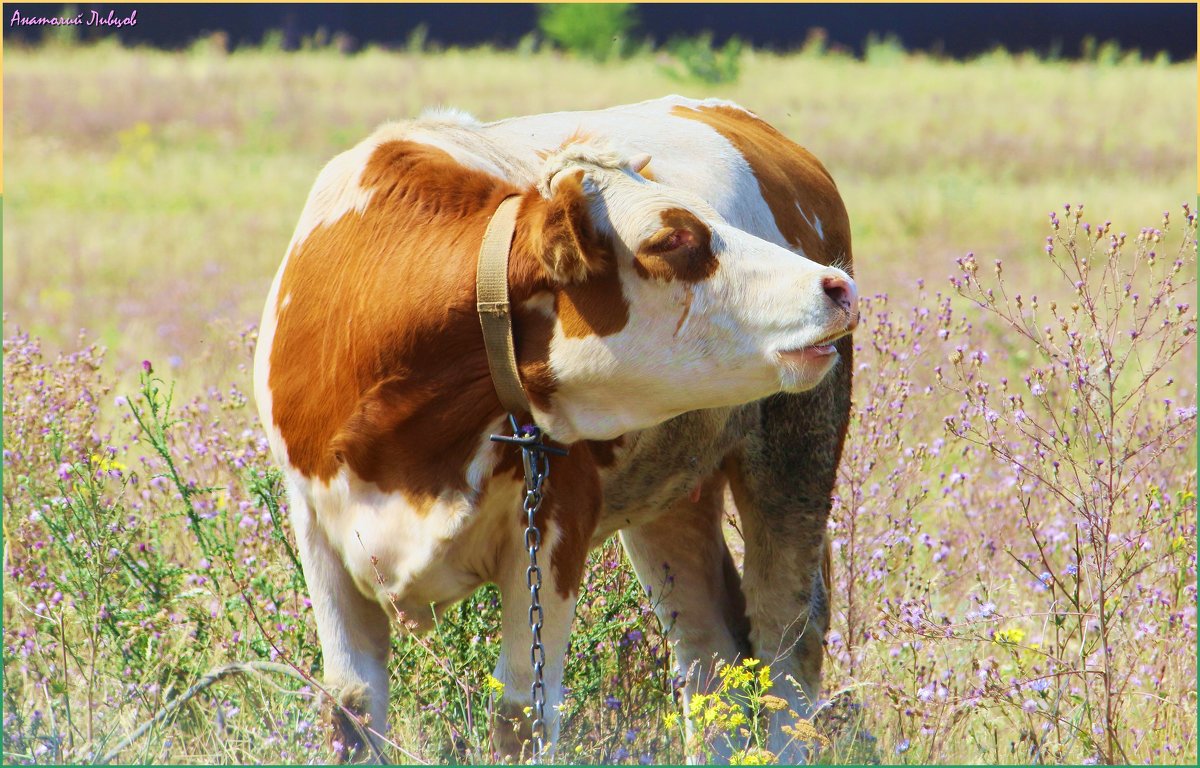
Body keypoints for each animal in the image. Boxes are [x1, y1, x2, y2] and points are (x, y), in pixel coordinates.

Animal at [253, 97, 854, 763]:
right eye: (672, 237)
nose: (834, 285)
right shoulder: (317, 526)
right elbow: (351, 711)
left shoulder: (553, 524)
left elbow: (521, 715)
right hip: (670, 497)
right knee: (709, 651)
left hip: (797, 447)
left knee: (785, 640)